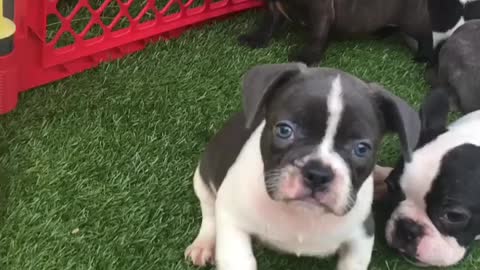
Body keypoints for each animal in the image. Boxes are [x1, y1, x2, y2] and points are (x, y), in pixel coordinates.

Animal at [184, 62, 420, 268]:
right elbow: (239, 259)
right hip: (202, 177)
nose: (318, 173)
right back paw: (204, 244)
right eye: (284, 130)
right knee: (209, 211)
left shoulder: (362, 235)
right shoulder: (232, 218)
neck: (303, 213)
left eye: (362, 149)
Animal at [238, 0, 434, 65]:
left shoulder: (321, 11)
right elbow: (268, 23)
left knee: (426, 34)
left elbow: (317, 35)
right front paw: (256, 38)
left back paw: (424, 57)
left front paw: (307, 57)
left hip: (412, 19)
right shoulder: (274, 5)